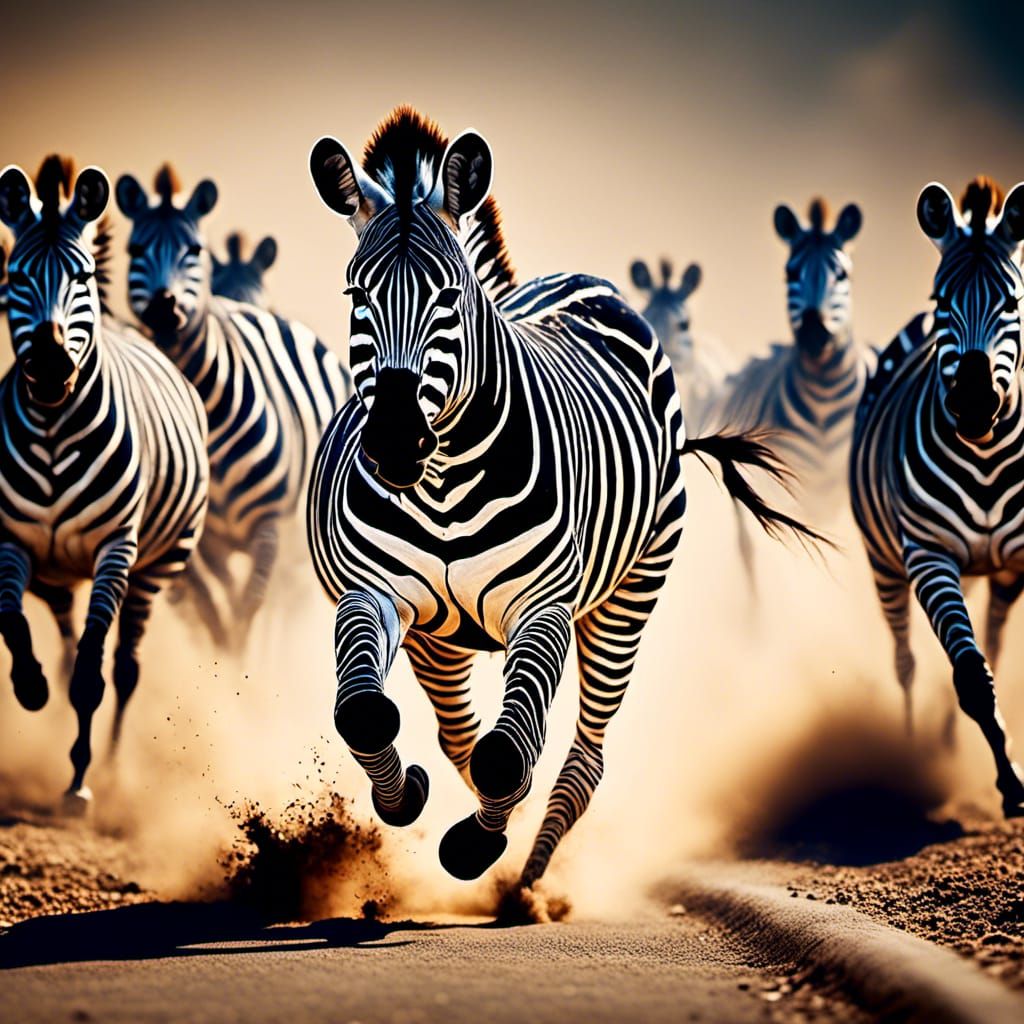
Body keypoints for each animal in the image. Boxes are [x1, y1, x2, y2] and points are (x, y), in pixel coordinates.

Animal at [0, 156, 209, 809]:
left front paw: (81, 783)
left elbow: (94, 676)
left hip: (156, 565)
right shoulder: (11, 542)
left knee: (122, 667)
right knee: (68, 642)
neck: (52, 430)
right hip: (54, 573)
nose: (50, 366)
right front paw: (31, 687)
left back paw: (112, 771)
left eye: (81, 275)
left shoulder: (116, 549)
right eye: (15, 275)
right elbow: (13, 624)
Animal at [115, 165, 350, 648]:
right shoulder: (205, 544)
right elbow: (216, 605)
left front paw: (240, 660)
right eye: (135, 250)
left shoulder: (271, 528)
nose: (163, 309)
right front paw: (221, 652)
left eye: (194, 251)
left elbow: (248, 608)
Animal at [851, 176, 1024, 816]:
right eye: (941, 301)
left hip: (998, 571)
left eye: (1012, 303)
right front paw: (1011, 785)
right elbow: (971, 677)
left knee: (992, 639)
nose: (973, 403)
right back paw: (912, 746)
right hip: (885, 562)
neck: (986, 458)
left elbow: (982, 666)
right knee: (905, 660)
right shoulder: (927, 555)